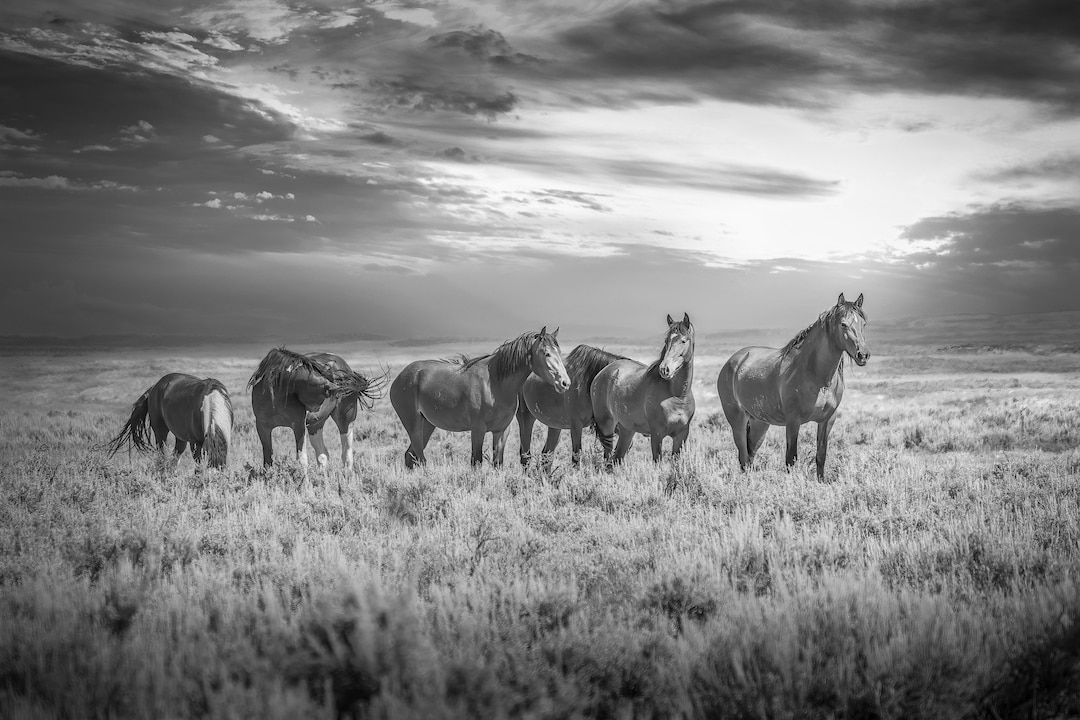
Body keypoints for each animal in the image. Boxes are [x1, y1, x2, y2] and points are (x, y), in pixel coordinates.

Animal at [249, 347, 380, 473]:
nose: (338, 388)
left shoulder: (298, 426)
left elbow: (302, 460)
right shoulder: (263, 427)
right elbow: (267, 461)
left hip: (346, 420)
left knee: (346, 455)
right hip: (315, 425)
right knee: (323, 455)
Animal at [390, 327, 571, 468]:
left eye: (559, 352)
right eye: (546, 353)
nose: (565, 383)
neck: (495, 385)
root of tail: (400, 377)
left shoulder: (501, 431)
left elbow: (498, 463)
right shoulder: (478, 429)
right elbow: (476, 462)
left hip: (427, 424)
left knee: (410, 456)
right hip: (413, 425)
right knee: (420, 458)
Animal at [590, 313, 696, 465]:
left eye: (683, 340)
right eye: (666, 340)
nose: (665, 369)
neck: (677, 396)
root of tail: (602, 373)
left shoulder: (681, 436)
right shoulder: (657, 434)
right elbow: (658, 462)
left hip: (627, 429)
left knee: (616, 459)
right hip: (606, 426)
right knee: (608, 456)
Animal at [716, 292, 869, 480]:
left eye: (863, 324)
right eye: (843, 324)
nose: (863, 355)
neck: (816, 376)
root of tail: (733, 361)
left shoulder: (827, 420)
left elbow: (821, 455)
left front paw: (821, 482)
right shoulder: (793, 421)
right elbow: (791, 458)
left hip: (759, 422)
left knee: (750, 455)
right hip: (737, 420)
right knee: (743, 457)